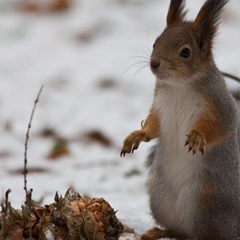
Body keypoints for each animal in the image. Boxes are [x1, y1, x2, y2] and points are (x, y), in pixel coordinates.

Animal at [121, 0, 239, 240]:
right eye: (156, 42)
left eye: (186, 52)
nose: (154, 63)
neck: (179, 85)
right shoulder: (160, 107)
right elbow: (154, 126)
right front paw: (138, 135)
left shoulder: (220, 106)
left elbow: (220, 126)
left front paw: (198, 136)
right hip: (159, 195)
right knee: (177, 230)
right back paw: (158, 231)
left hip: (202, 201)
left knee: (201, 234)